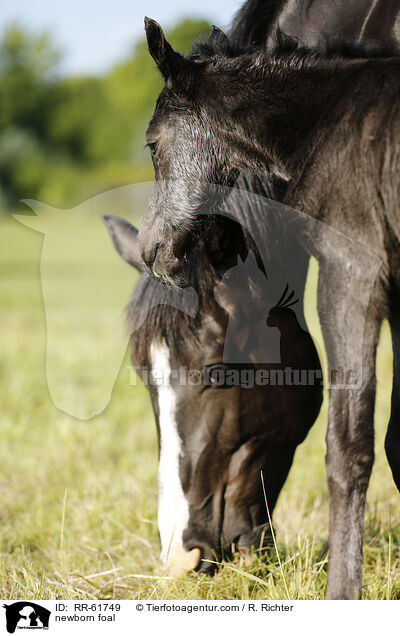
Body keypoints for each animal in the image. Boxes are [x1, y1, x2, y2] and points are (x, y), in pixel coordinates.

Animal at [135, 17, 400, 600]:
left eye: (151, 143)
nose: (152, 251)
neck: (324, 118)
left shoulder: (352, 273)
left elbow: (348, 447)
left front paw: (343, 593)